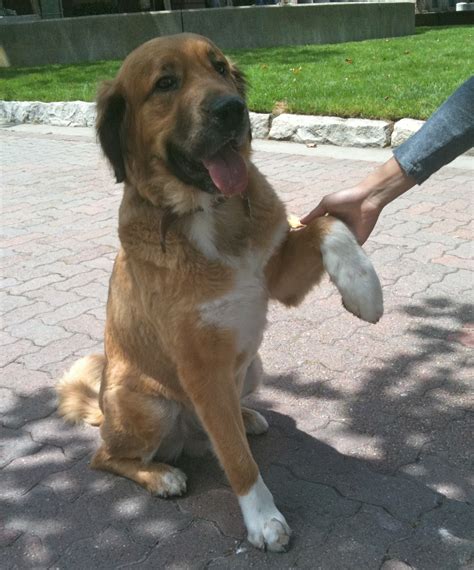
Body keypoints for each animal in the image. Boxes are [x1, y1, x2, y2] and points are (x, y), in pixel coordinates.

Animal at [56, 32, 382, 552]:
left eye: (221, 69)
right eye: (165, 83)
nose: (233, 110)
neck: (206, 213)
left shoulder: (279, 275)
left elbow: (327, 223)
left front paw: (364, 288)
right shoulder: (201, 366)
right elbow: (235, 458)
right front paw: (262, 517)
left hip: (253, 369)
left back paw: (245, 417)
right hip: (146, 403)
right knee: (105, 457)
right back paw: (161, 475)